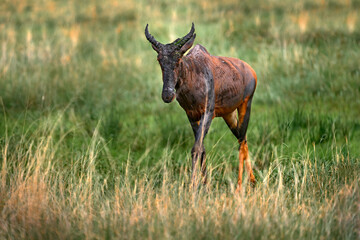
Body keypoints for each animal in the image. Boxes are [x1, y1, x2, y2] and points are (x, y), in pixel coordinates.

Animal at [145, 23, 258, 191]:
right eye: (159, 59)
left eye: (179, 58)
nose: (167, 95)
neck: (193, 71)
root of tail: (250, 70)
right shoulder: (192, 116)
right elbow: (202, 148)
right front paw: (205, 184)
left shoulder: (208, 113)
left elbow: (196, 148)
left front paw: (192, 185)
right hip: (229, 115)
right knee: (241, 138)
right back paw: (251, 181)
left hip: (246, 105)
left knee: (242, 140)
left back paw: (240, 185)